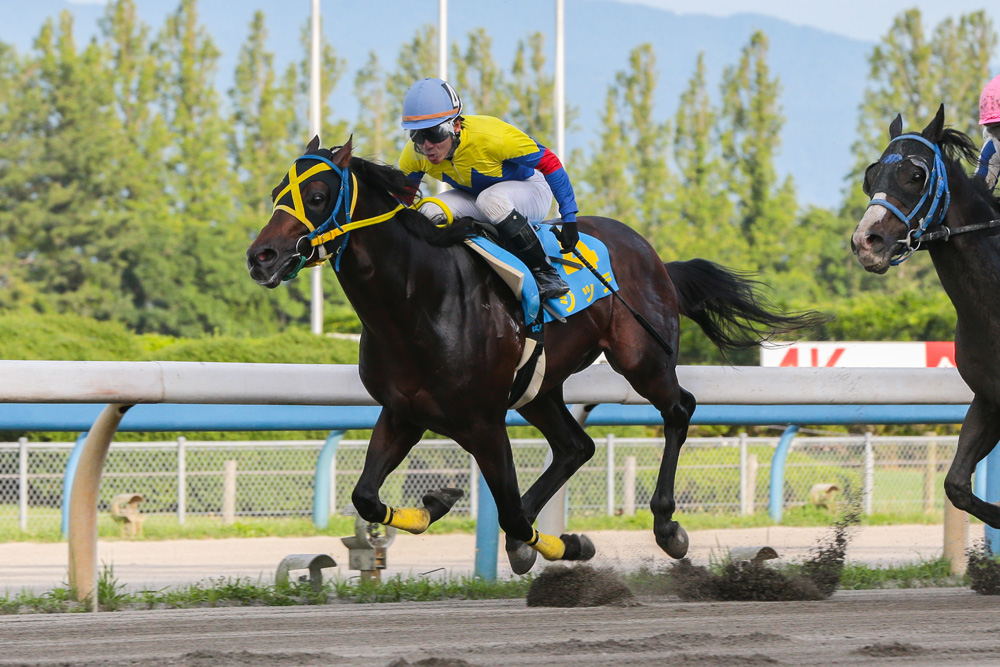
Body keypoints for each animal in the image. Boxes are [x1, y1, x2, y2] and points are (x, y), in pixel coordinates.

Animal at [247, 135, 823, 573]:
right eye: (277, 191)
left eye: (317, 194)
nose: (261, 256)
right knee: (575, 447)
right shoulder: (403, 411)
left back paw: (666, 526)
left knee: (678, 410)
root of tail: (653, 254)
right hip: (539, 388)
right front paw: (436, 504)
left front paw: (568, 544)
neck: (417, 301)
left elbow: (510, 514)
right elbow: (366, 495)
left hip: (642, 359)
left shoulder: (482, 421)